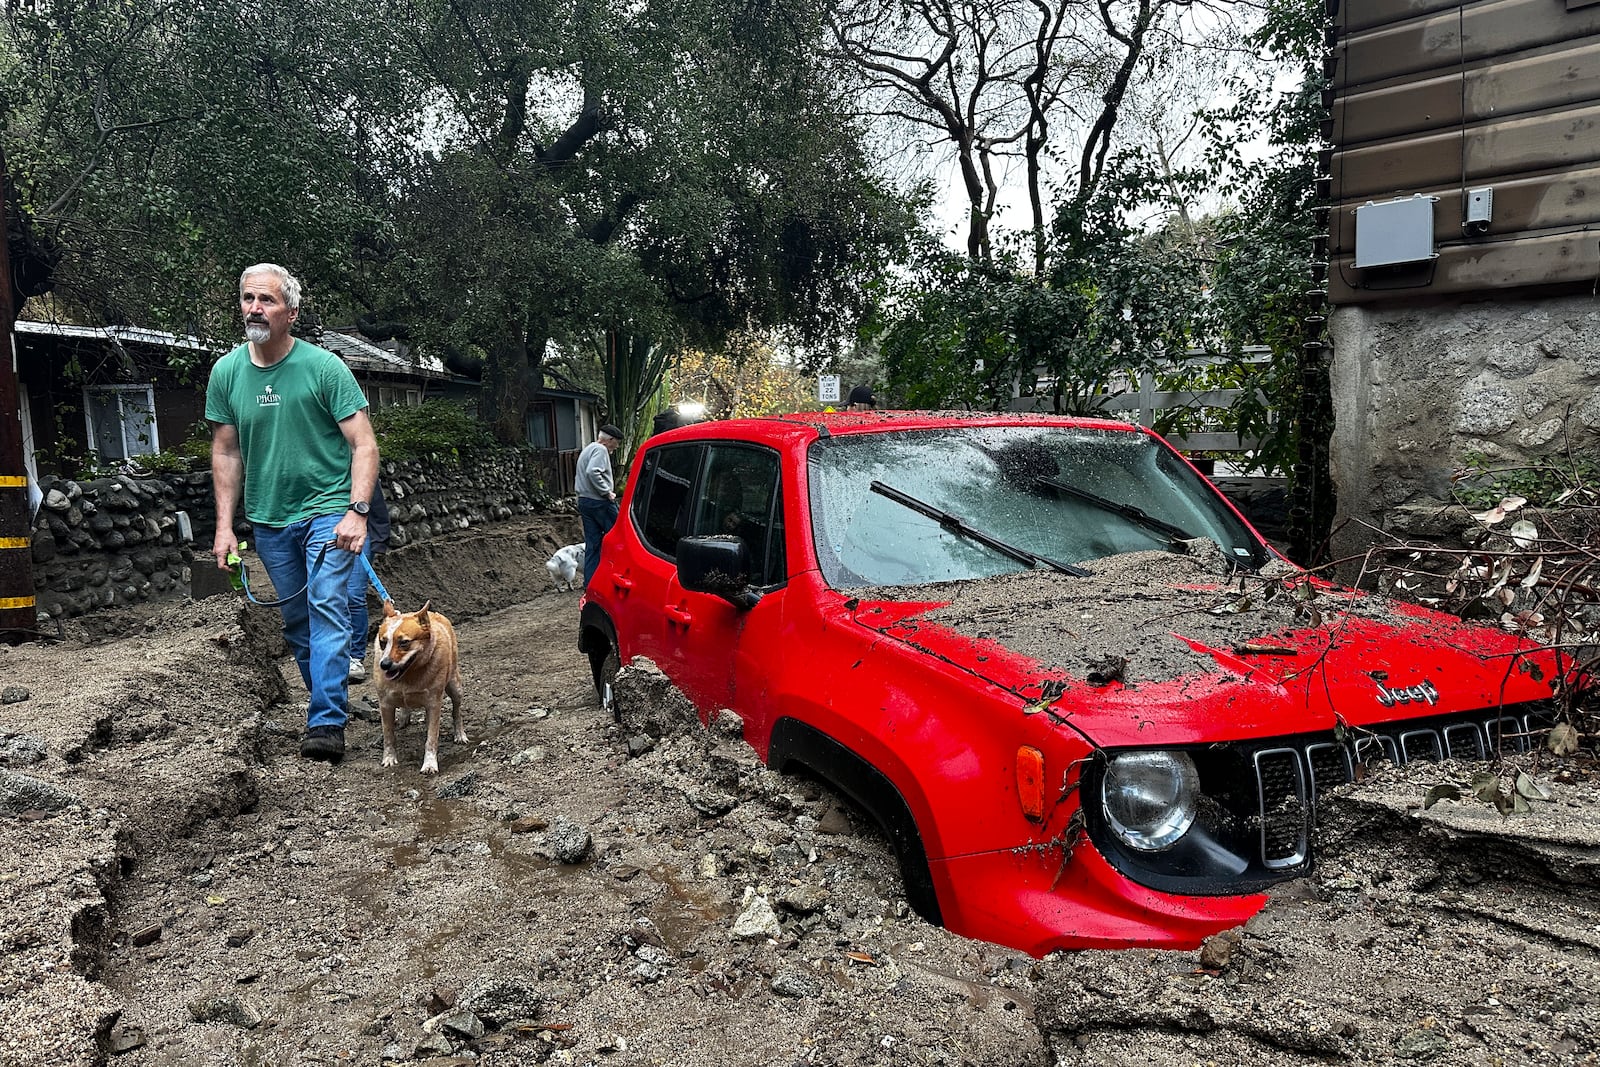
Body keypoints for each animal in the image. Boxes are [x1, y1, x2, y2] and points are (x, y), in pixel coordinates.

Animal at [376, 601, 467, 777]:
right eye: (383, 643)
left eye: (404, 642)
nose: (384, 664)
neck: (407, 676)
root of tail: (433, 613)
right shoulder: (385, 704)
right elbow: (388, 735)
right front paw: (389, 758)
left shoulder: (434, 703)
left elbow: (431, 738)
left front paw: (430, 764)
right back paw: (404, 717)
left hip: (454, 686)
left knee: (457, 710)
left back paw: (459, 733)